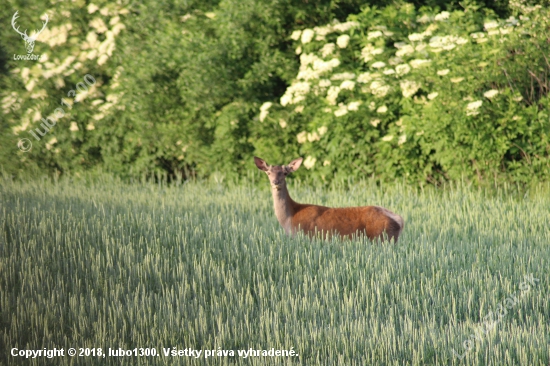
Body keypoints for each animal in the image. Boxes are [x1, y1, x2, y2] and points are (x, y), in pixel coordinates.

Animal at [256, 156, 406, 242]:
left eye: (285, 173)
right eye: (268, 172)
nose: (276, 182)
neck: (289, 218)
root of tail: (400, 220)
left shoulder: (306, 237)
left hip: (381, 237)